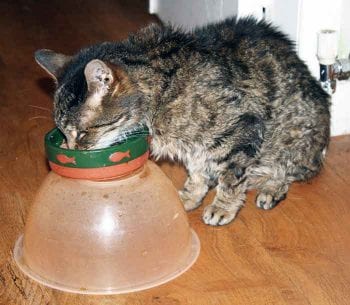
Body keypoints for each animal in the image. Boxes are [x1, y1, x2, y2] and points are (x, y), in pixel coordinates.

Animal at [34, 17, 330, 226]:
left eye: (82, 133)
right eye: (63, 133)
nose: (71, 150)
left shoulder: (242, 128)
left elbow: (232, 177)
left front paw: (223, 207)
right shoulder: (196, 148)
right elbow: (197, 173)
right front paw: (189, 196)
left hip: (294, 137)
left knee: (289, 170)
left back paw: (271, 187)